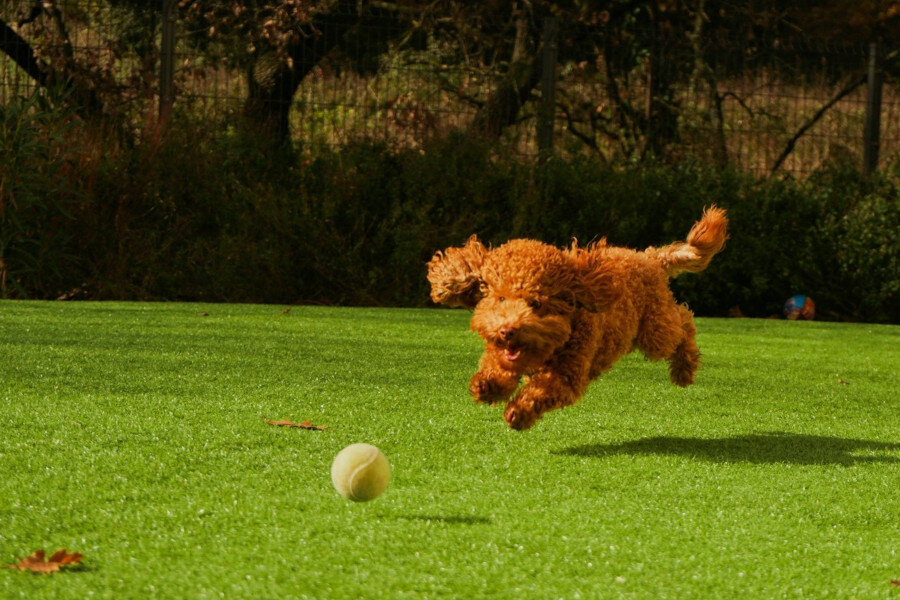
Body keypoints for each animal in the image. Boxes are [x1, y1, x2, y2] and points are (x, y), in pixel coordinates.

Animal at [426, 207, 728, 432]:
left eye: (537, 303)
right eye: (500, 298)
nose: (507, 330)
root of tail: (650, 257)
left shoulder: (568, 374)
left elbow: (541, 391)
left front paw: (518, 412)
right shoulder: (501, 353)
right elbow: (496, 367)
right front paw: (487, 386)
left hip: (654, 332)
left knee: (683, 321)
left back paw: (685, 368)